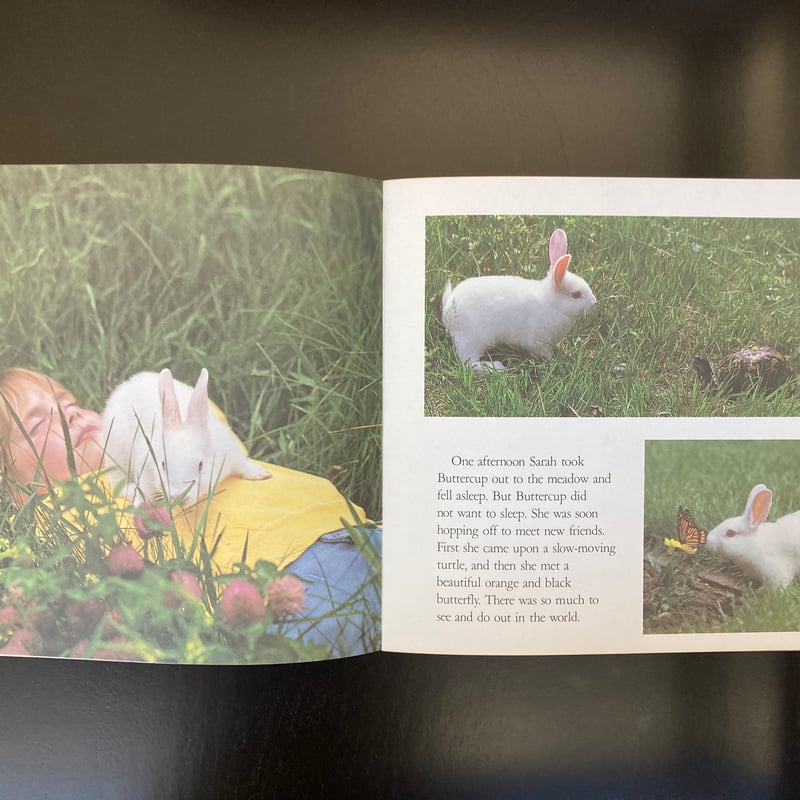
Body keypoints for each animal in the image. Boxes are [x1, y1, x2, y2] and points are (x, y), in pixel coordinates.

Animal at [101, 367, 270, 504]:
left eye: (201, 465)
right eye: (162, 464)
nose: (178, 496)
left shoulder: (229, 449)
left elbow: (242, 464)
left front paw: (261, 474)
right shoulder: (145, 462)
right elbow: (144, 488)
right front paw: (140, 506)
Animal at [441, 228, 596, 371]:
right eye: (575, 294)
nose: (594, 302)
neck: (552, 304)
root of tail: (449, 312)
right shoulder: (539, 341)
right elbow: (543, 353)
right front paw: (552, 361)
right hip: (474, 339)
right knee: (468, 362)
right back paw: (496, 367)